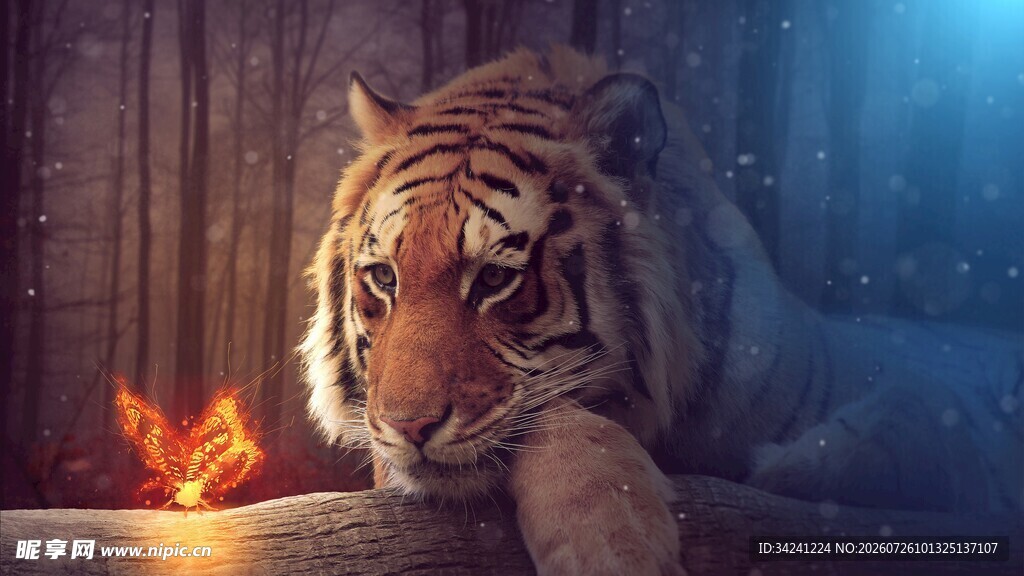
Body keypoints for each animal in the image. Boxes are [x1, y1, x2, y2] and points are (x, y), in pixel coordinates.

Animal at [299, 46, 1023, 574]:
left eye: (496, 279)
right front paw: (612, 540)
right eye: (384, 278)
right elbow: (554, 415)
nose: (408, 427)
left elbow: (915, 419)